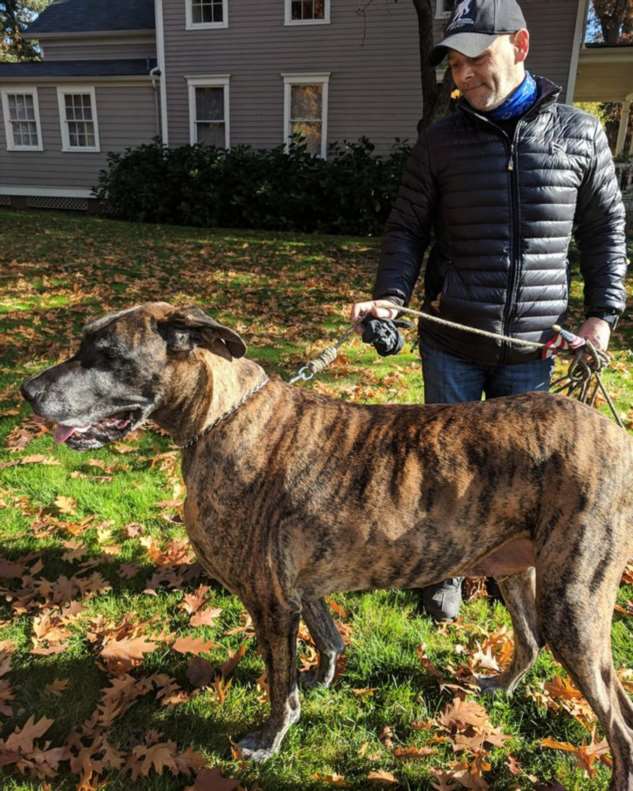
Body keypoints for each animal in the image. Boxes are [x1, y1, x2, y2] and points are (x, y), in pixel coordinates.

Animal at [22, 302, 632, 784]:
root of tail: (616, 433)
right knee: (529, 642)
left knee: (618, 721)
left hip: (573, 603)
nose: (26, 391)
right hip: (515, 572)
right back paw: (501, 686)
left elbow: (278, 684)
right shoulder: (298, 588)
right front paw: (321, 679)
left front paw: (268, 740)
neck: (220, 417)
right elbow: (327, 638)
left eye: (106, 355)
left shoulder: (269, 602)